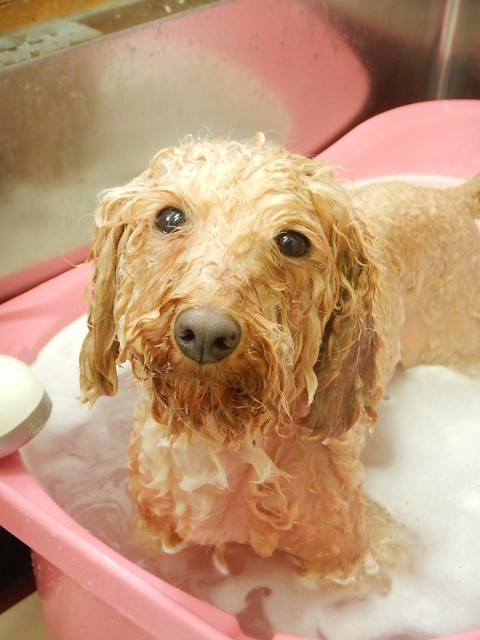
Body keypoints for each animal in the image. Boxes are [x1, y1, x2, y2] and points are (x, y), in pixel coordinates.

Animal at [79, 133, 480, 586]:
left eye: (291, 242)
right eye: (169, 217)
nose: (205, 332)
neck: (219, 438)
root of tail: (451, 199)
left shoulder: (350, 562)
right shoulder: (154, 531)